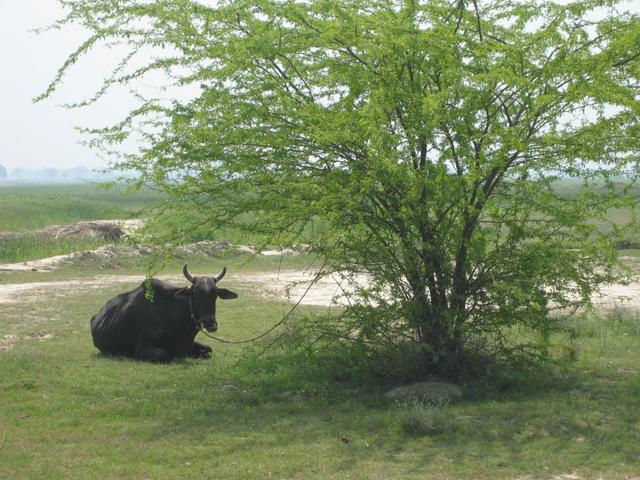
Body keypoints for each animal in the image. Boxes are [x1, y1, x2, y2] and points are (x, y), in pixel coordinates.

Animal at [90, 264, 238, 362]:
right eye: (195, 294)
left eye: (215, 294)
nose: (210, 324)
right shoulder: (141, 350)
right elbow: (164, 355)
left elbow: (209, 350)